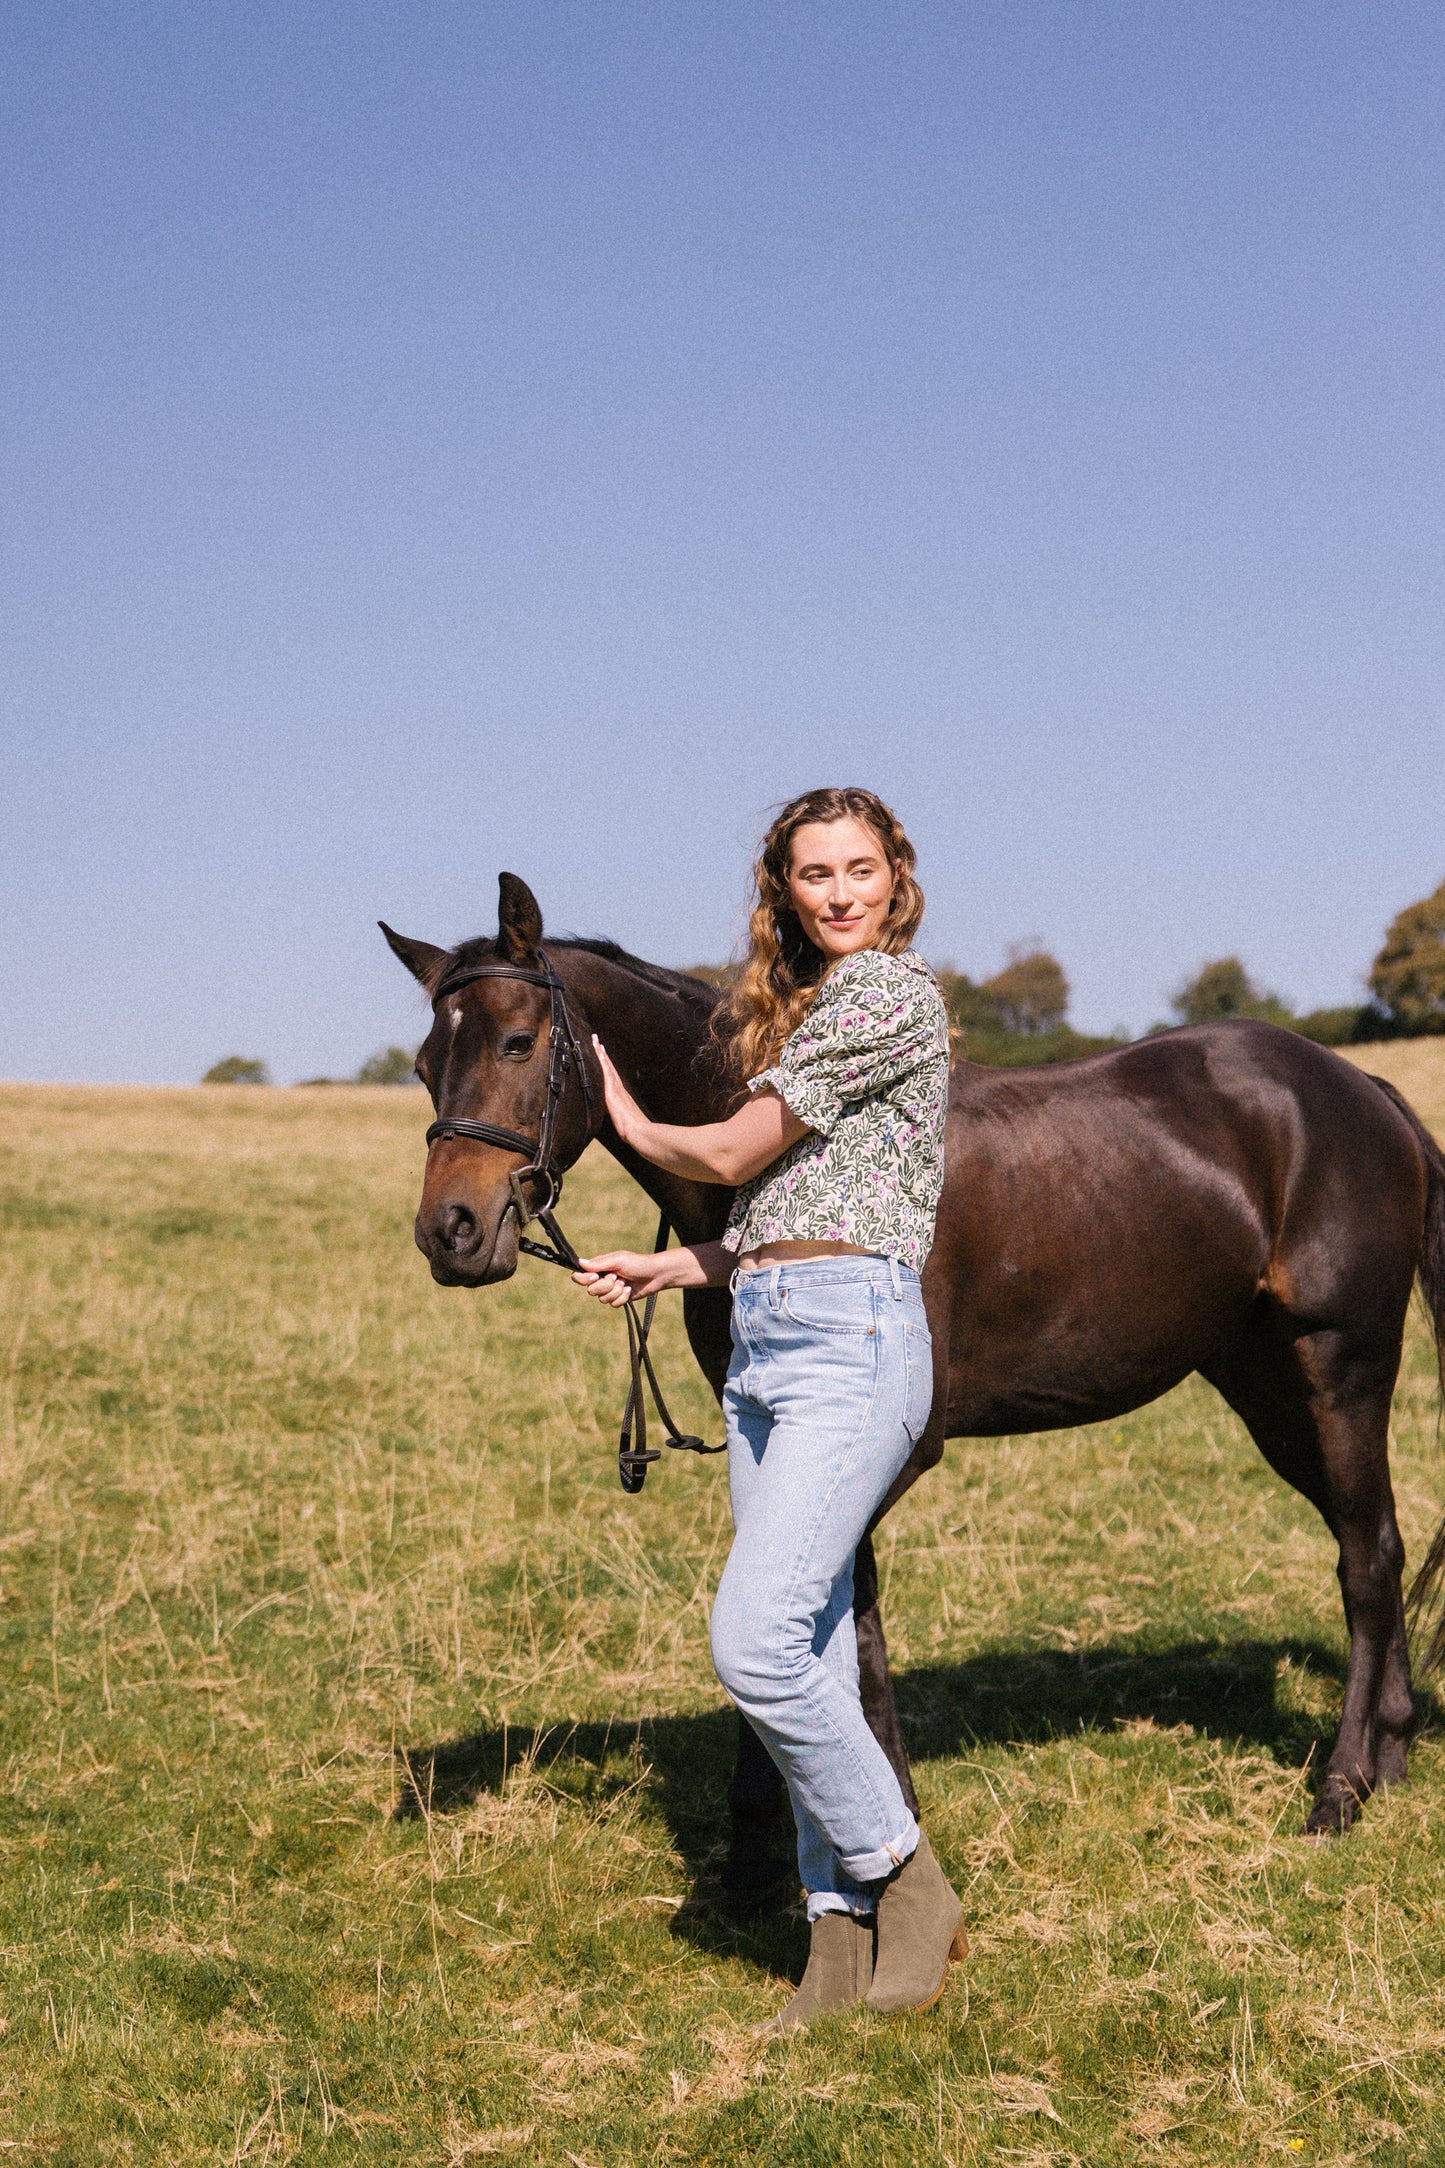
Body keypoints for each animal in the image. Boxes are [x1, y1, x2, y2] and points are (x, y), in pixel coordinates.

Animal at [383, 862, 1445, 1881]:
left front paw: (874, 1819)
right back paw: (1390, 1754)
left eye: (519, 1042)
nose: (450, 1232)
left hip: (1338, 1368)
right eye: (426, 1065)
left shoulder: (885, 1445)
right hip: (1264, 1386)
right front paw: (757, 1844)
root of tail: (1359, 1090)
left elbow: (839, 1620)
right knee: (1377, 1539)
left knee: (1364, 1559)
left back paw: (1340, 1789)